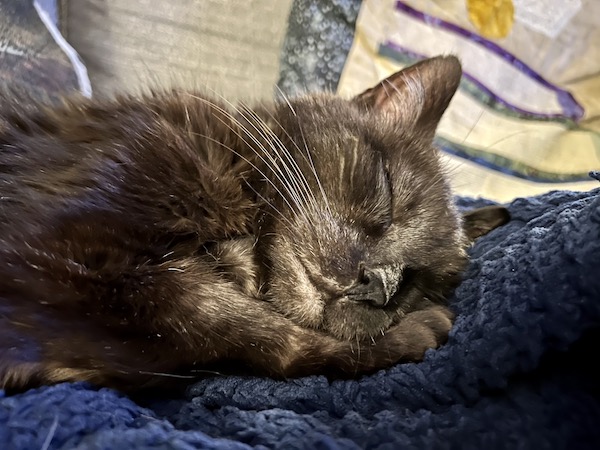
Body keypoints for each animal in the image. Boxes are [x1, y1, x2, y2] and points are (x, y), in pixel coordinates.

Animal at [0, 56, 506, 392]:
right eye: (387, 187)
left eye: (417, 283)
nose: (377, 285)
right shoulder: (59, 252)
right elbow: (253, 329)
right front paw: (418, 333)